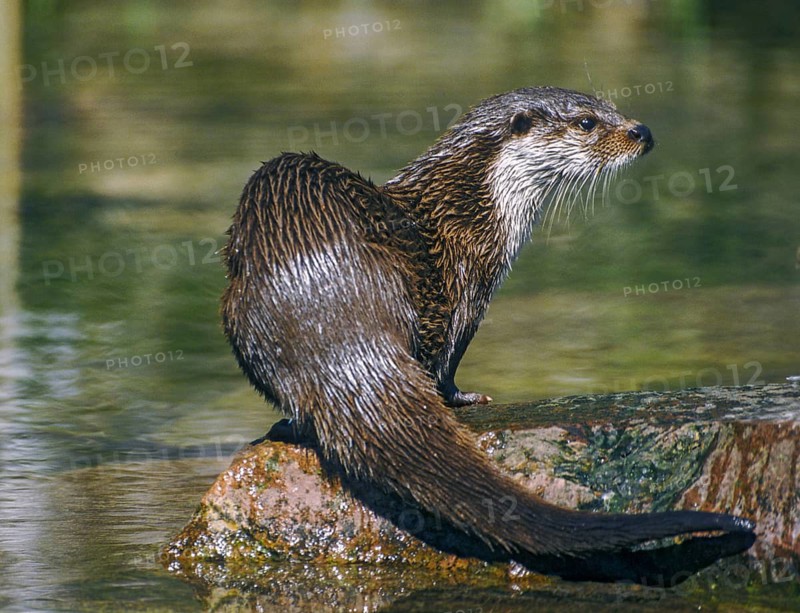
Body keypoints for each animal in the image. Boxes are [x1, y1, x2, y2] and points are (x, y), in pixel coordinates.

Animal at [221, 87, 754, 561]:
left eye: (612, 105)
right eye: (587, 121)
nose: (641, 131)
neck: (474, 205)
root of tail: (339, 335)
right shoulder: (470, 278)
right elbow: (449, 356)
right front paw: (466, 397)